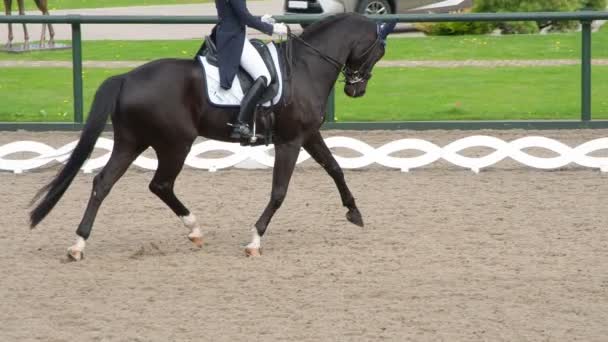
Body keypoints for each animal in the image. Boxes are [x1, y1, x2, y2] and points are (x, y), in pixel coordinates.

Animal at [30, 12, 396, 260]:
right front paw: (254, 240)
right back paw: (193, 229)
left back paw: (78, 245)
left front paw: (354, 213)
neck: (306, 66)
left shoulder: (309, 135)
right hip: (175, 143)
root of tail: (127, 77)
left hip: (131, 142)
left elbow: (335, 168)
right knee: (160, 184)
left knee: (103, 183)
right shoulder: (290, 141)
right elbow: (279, 192)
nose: (356, 90)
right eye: (378, 52)